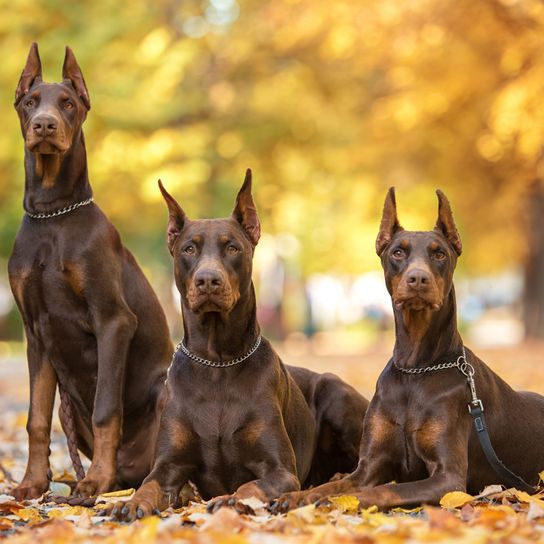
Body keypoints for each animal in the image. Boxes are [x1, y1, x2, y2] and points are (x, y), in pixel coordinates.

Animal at [9, 44, 173, 500]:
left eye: (68, 103)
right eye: (30, 102)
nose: (45, 125)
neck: (53, 214)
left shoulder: (113, 320)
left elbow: (106, 409)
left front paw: (96, 479)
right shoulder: (35, 332)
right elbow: (36, 418)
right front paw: (32, 483)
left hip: (167, 387)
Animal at [110, 169, 368, 520]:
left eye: (232, 248)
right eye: (188, 249)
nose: (208, 280)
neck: (217, 363)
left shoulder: (279, 470)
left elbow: (249, 486)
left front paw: (231, 500)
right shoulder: (168, 465)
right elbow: (148, 485)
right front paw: (131, 502)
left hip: (337, 394)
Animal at [274, 189, 544, 512]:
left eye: (439, 254)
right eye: (397, 253)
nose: (418, 279)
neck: (416, 369)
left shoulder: (448, 478)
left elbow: (380, 491)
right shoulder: (369, 465)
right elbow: (334, 485)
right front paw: (296, 496)